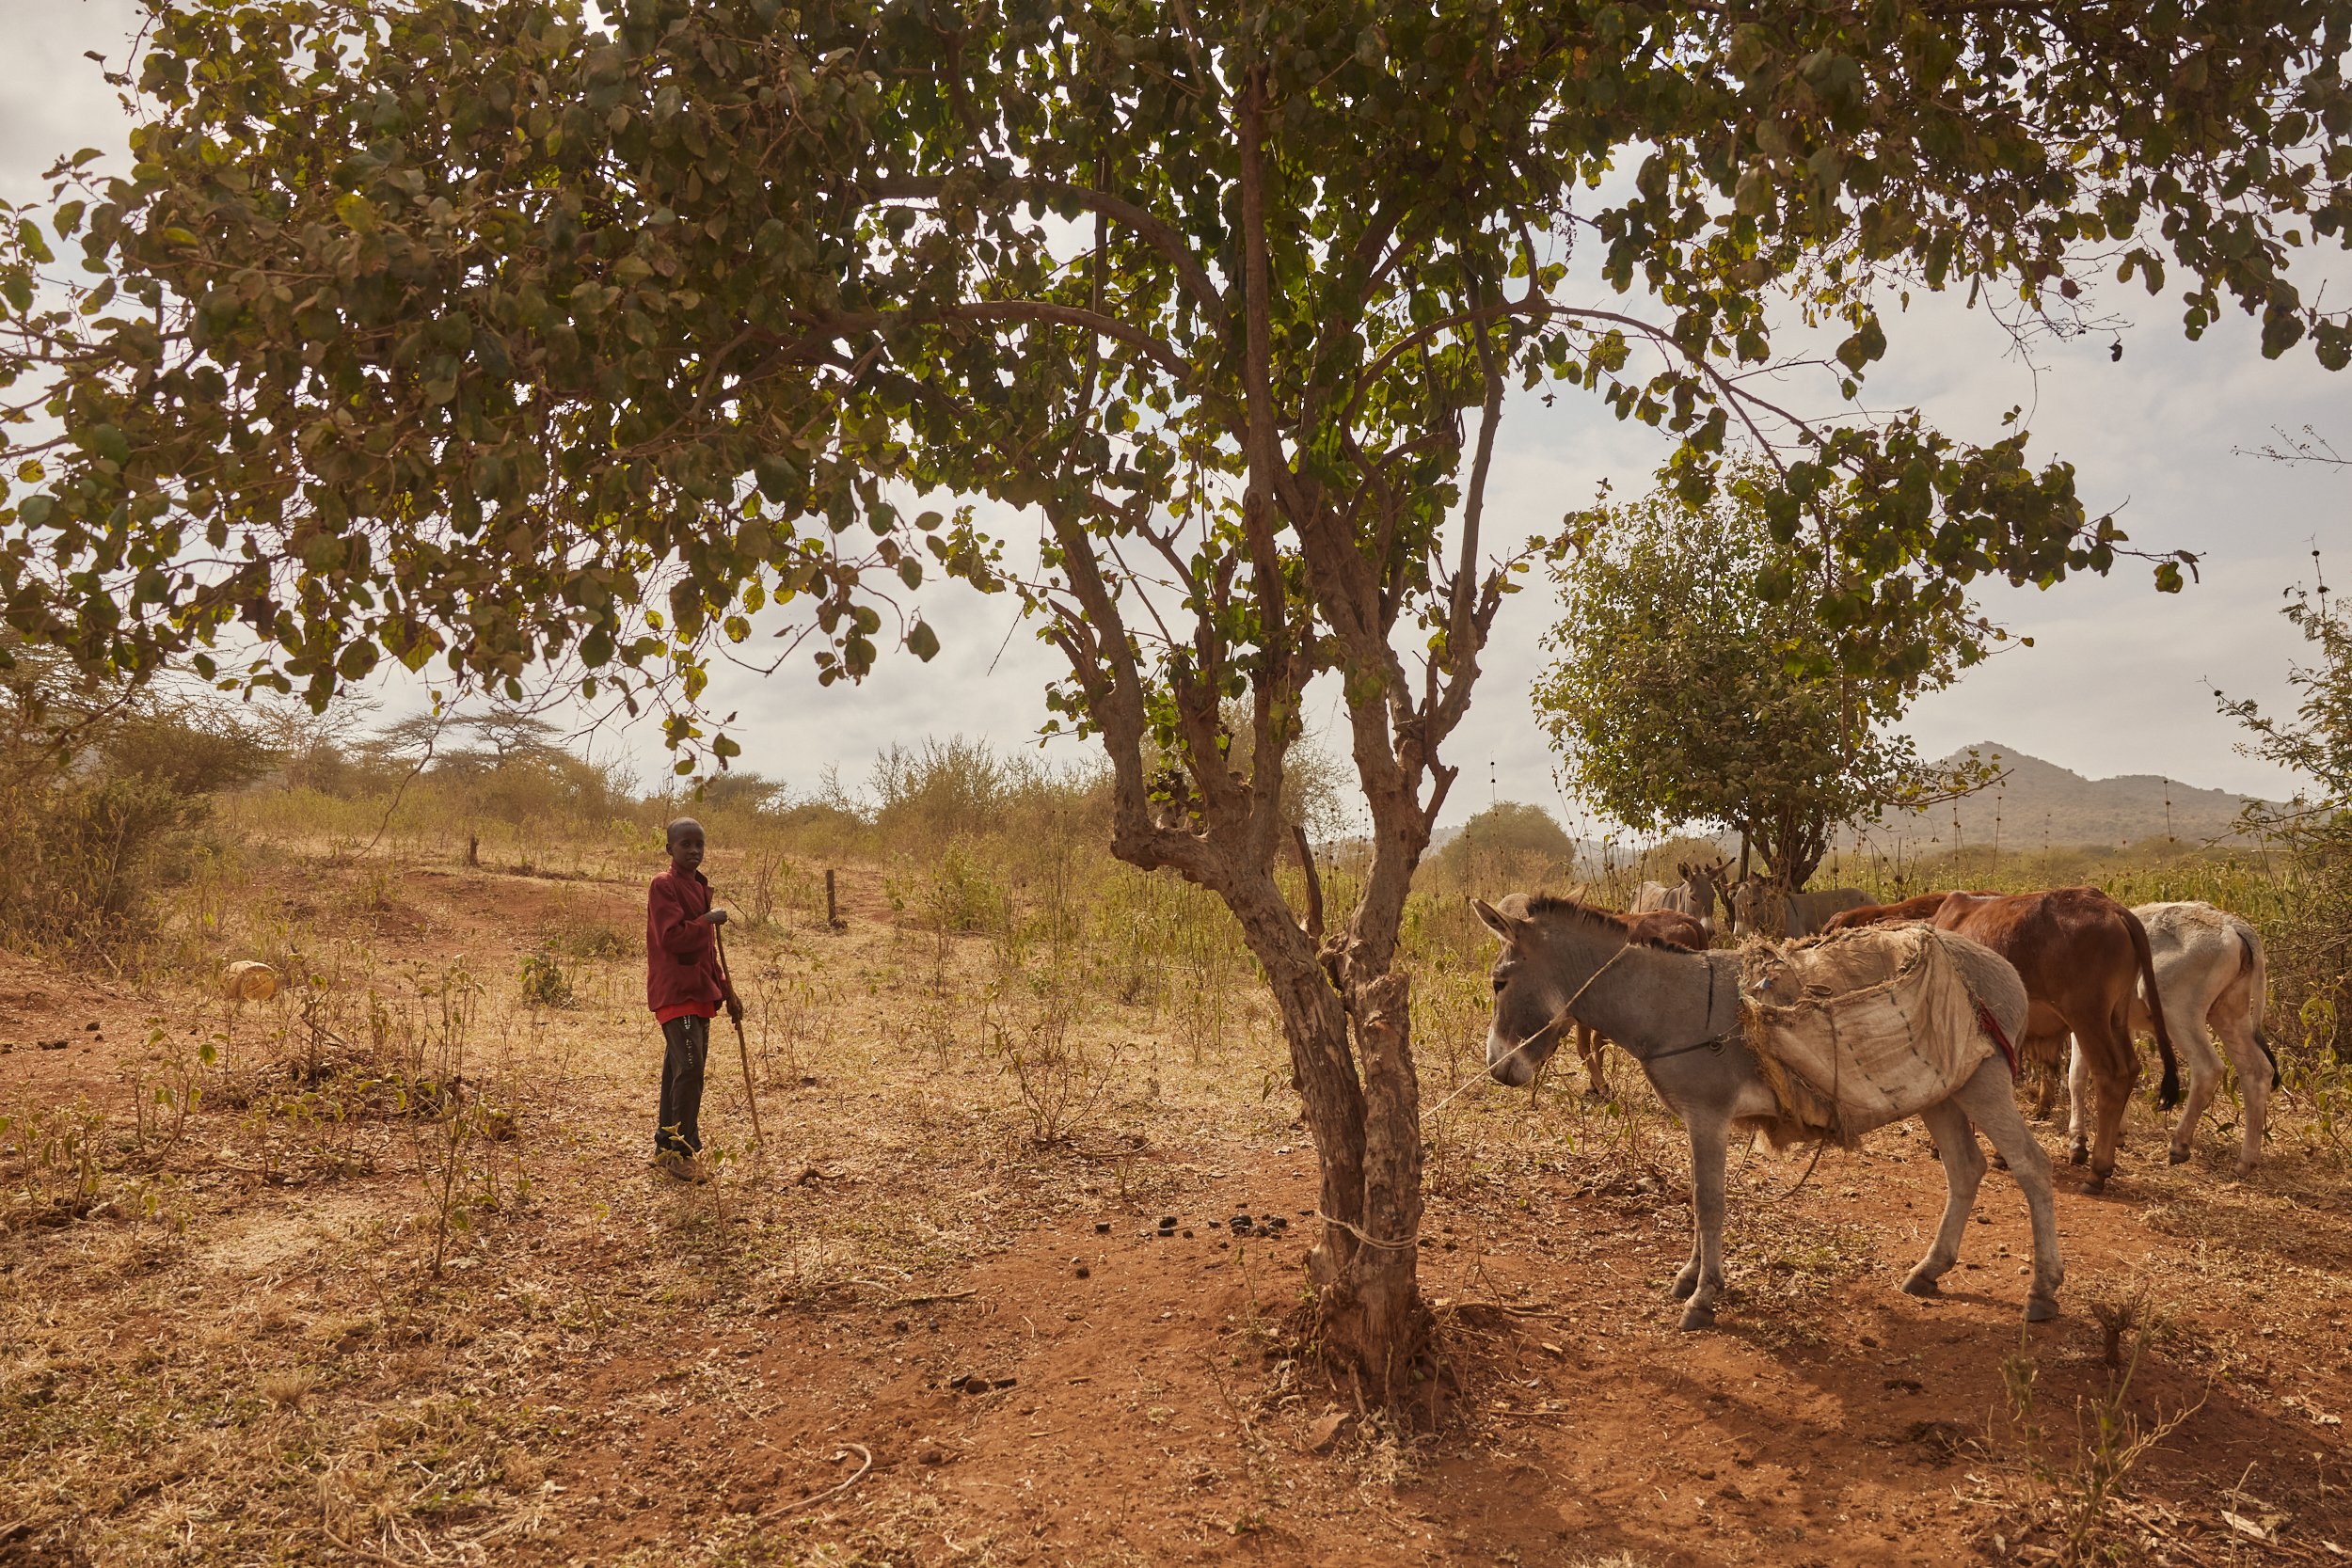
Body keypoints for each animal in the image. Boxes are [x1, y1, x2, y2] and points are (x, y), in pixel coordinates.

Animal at [1931, 887, 2181, 1193]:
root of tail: (2112, 909)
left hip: (2087, 1017)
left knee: (2111, 1075)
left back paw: (2097, 1171)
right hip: (2116, 1017)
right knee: (2131, 1068)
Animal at [2066, 901, 2277, 1176]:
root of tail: (2232, 924)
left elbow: (2077, 1077)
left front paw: (2077, 1142)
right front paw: (2117, 1133)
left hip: (2177, 1012)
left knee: (2208, 1068)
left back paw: (2180, 1144)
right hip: (2229, 1013)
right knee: (2257, 1071)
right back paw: (2245, 1161)